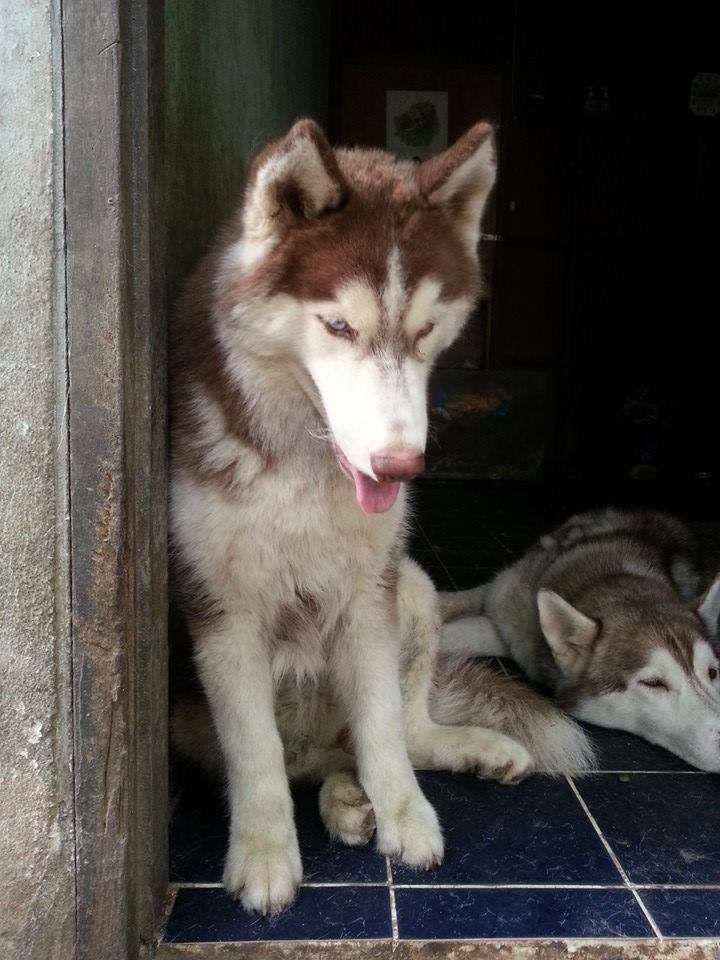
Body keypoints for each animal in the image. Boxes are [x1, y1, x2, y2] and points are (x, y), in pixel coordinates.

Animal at [169, 118, 594, 915]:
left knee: (405, 730)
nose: (399, 468)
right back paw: (341, 799)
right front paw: (265, 851)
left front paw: (405, 815)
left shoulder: (372, 594)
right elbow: (255, 751)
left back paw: (454, 756)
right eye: (338, 326)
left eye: (426, 331)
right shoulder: (222, 610)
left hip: (415, 588)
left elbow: (386, 730)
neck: (307, 471)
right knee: (300, 761)